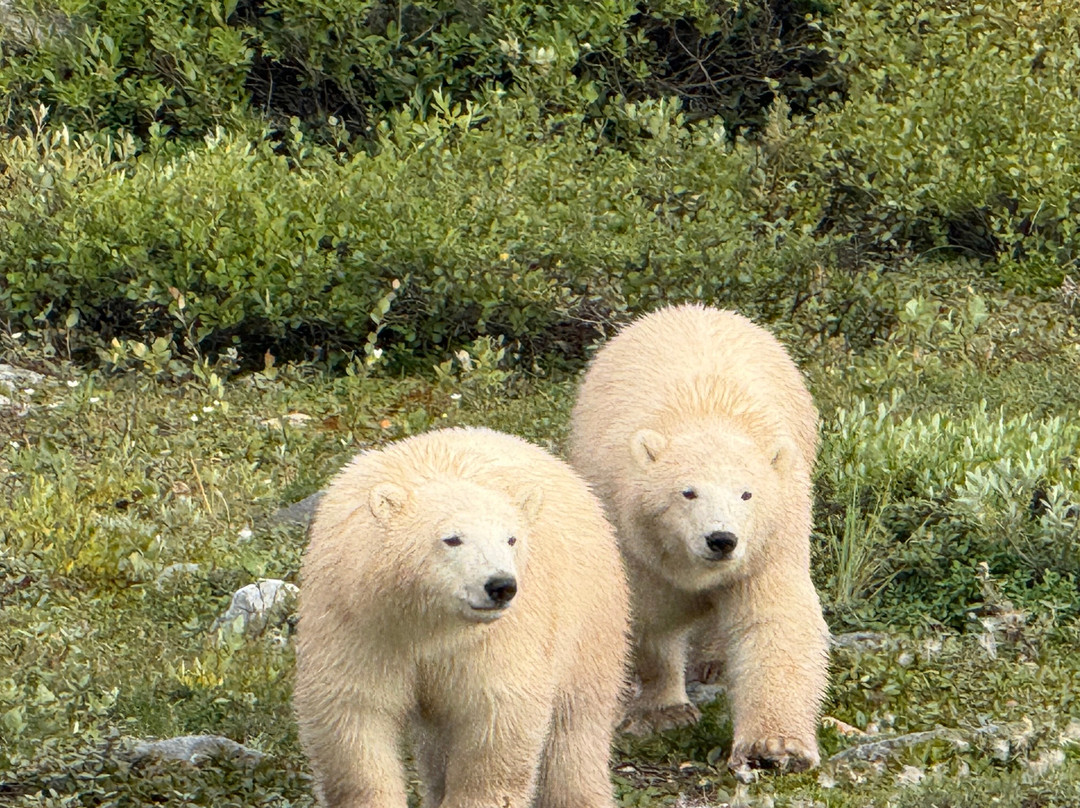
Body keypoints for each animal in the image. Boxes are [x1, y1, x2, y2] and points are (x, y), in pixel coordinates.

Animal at [294, 426, 630, 808]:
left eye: (511, 538)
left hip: (590, 619)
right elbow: (354, 715)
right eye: (452, 538)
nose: (501, 585)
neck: (429, 621)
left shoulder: (497, 642)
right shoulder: (360, 622)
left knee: (576, 725)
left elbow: (496, 720)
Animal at [568, 303, 829, 776]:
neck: (707, 415)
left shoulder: (769, 543)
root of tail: (695, 308)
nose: (721, 539)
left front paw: (775, 747)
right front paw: (662, 711)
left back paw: (713, 662)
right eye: (687, 492)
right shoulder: (635, 540)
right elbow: (649, 618)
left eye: (747, 493)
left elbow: (773, 621)